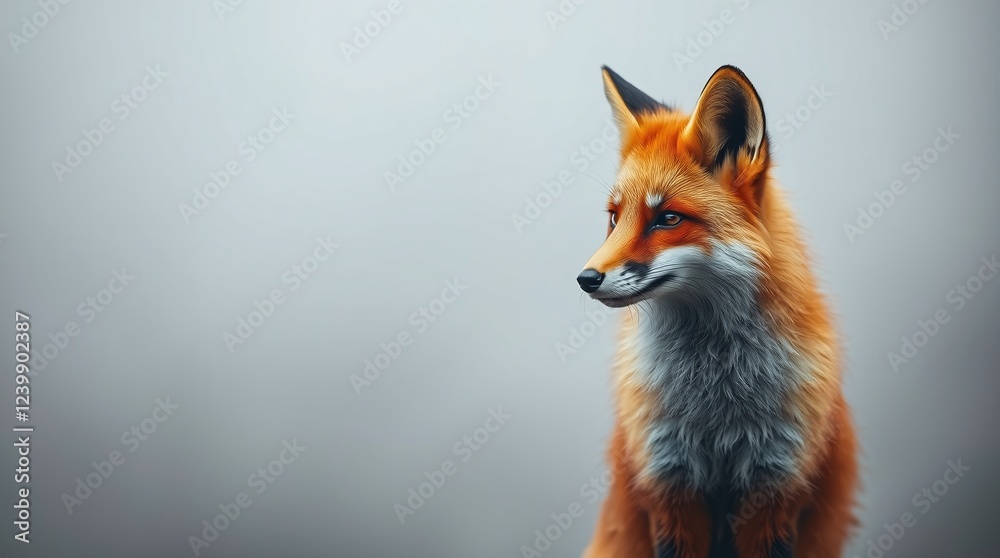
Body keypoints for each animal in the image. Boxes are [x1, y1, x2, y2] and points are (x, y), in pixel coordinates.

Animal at [576, 65, 858, 558]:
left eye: (667, 219)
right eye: (614, 217)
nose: (586, 278)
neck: (717, 397)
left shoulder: (776, 485)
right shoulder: (669, 482)